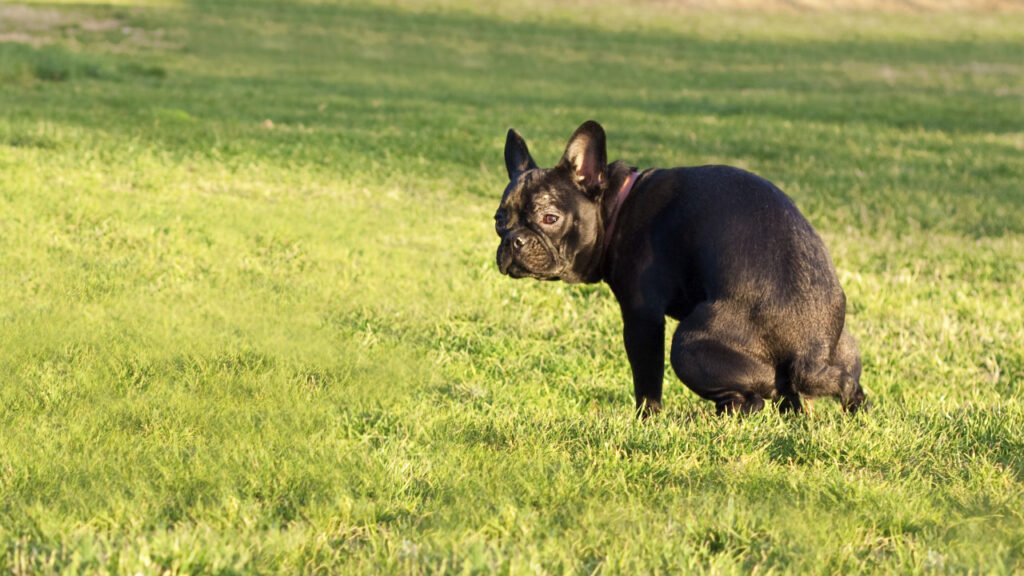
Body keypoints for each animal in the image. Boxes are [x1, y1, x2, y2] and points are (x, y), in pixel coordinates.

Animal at [495, 120, 864, 414]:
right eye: (499, 220)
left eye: (549, 218)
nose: (514, 240)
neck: (617, 206)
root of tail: (812, 353)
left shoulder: (642, 317)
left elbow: (646, 378)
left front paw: (646, 418)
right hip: (847, 350)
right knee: (845, 389)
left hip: (688, 345)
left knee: (752, 401)